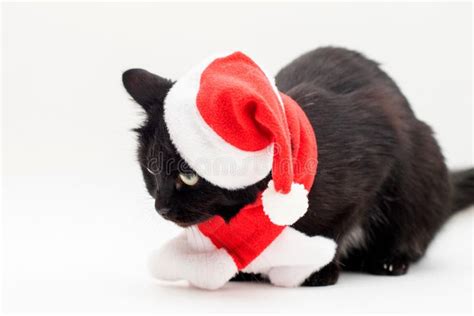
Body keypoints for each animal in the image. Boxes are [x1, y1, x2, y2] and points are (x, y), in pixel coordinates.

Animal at [123, 47, 474, 286]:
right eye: (151, 171)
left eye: (188, 176)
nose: (161, 207)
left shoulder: (376, 157)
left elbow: (338, 227)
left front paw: (317, 271)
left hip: (423, 167)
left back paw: (390, 259)